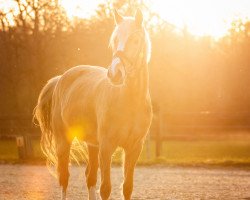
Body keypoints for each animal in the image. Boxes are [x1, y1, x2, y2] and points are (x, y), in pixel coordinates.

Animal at [34, 8, 152, 199]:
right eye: (115, 40)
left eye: (135, 40)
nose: (115, 74)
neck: (129, 101)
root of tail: (60, 79)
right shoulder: (106, 146)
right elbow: (105, 188)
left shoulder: (134, 148)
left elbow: (127, 187)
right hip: (64, 141)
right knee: (64, 177)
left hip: (92, 145)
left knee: (90, 177)